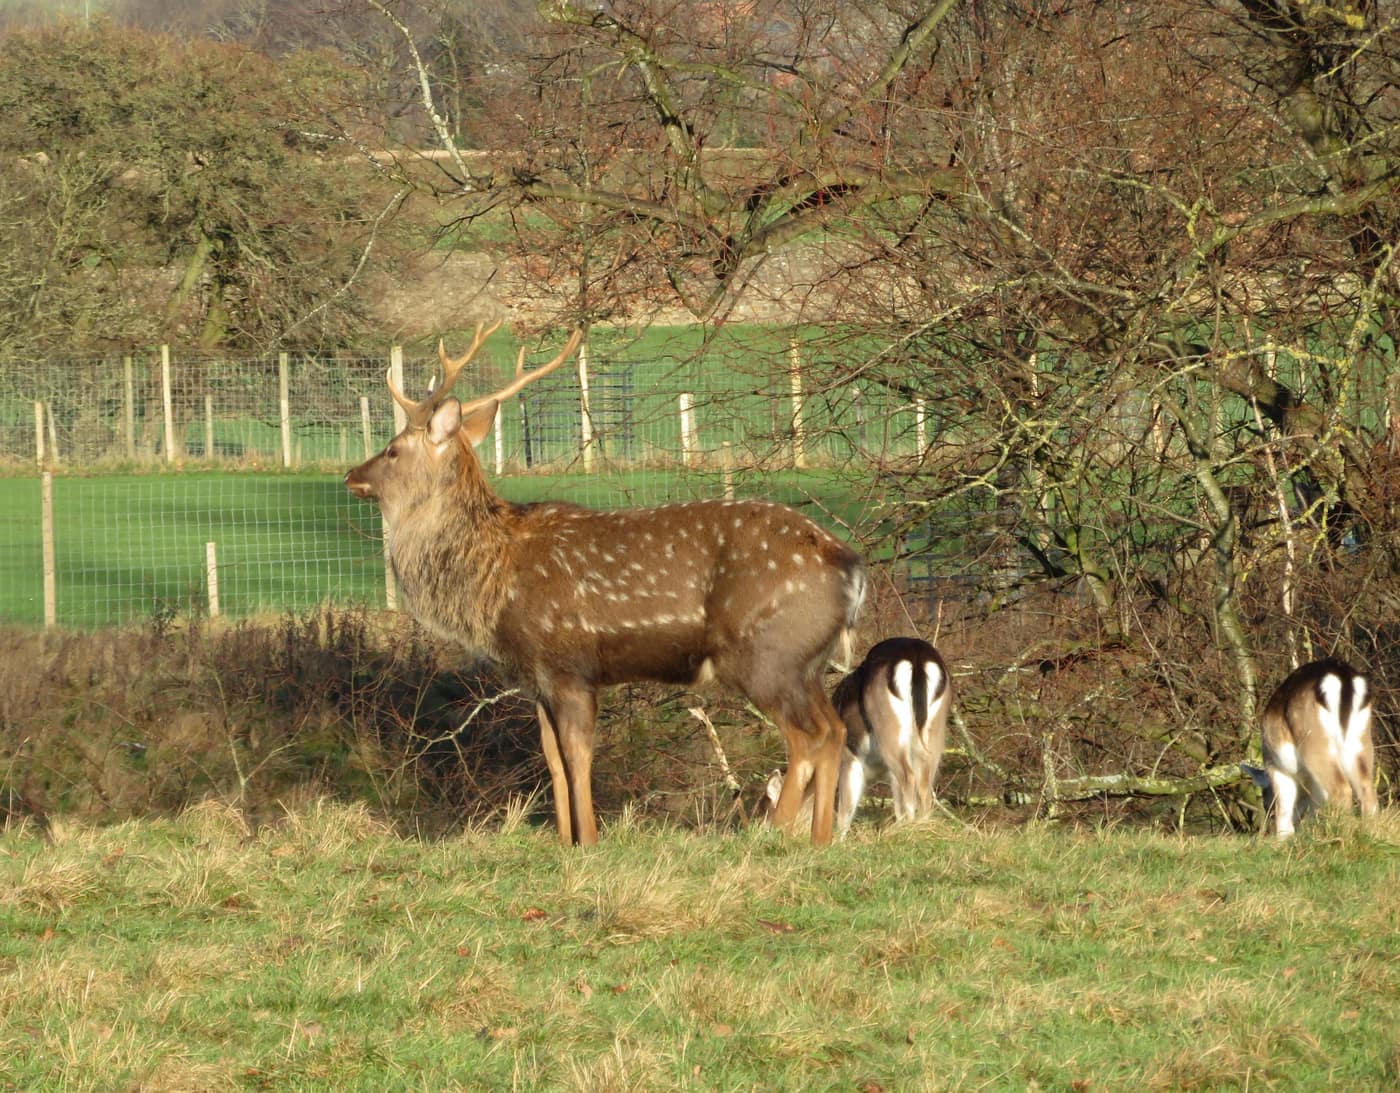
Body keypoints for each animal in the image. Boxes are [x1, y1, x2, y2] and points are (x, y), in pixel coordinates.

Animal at [344, 322, 866, 846]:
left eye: (392, 449)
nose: (350, 475)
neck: (493, 577)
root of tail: (852, 567)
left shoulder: (569, 664)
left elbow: (578, 757)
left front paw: (591, 840)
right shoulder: (536, 678)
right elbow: (552, 760)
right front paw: (564, 840)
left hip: (767, 652)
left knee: (809, 736)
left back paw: (775, 833)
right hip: (806, 661)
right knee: (835, 730)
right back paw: (819, 838)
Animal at [761, 636, 952, 838]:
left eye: (767, 819)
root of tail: (917, 656)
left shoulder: (849, 759)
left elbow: (845, 813)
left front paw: (837, 840)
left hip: (889, 729)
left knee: (909, 777)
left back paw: (909, 829)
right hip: (935, 732)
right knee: (925, 784)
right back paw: (922, 826)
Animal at [1248, 657, 1379, 839]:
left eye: (1266, 800)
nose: (1267, 819)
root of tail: (1343, 677)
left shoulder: (1276, 767)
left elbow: (1285, 806)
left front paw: (1283, 839)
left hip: (1313, 741)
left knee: (1341, 788)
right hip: (1361, 739)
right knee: (1367, 788)